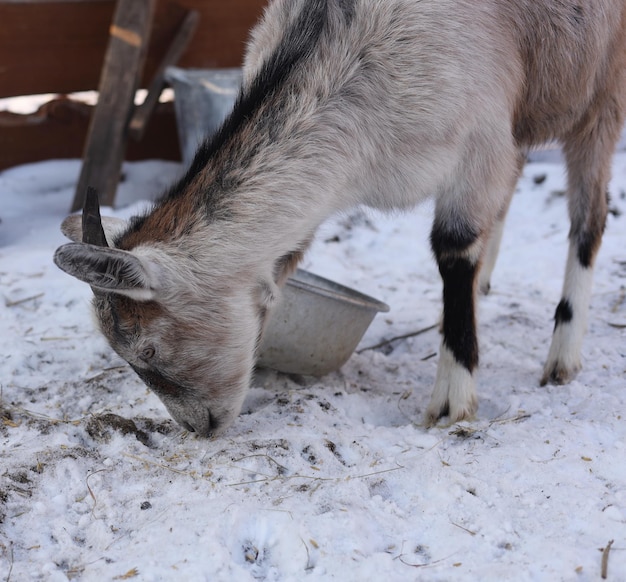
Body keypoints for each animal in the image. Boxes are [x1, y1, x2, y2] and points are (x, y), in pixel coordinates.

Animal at [53, 0, 624, 436]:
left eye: (149, 350)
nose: (198, 427)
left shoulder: (476, 142)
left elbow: (454, 251)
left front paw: (451, 399)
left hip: (601, 94)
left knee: (589, 219)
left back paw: (562, 358)